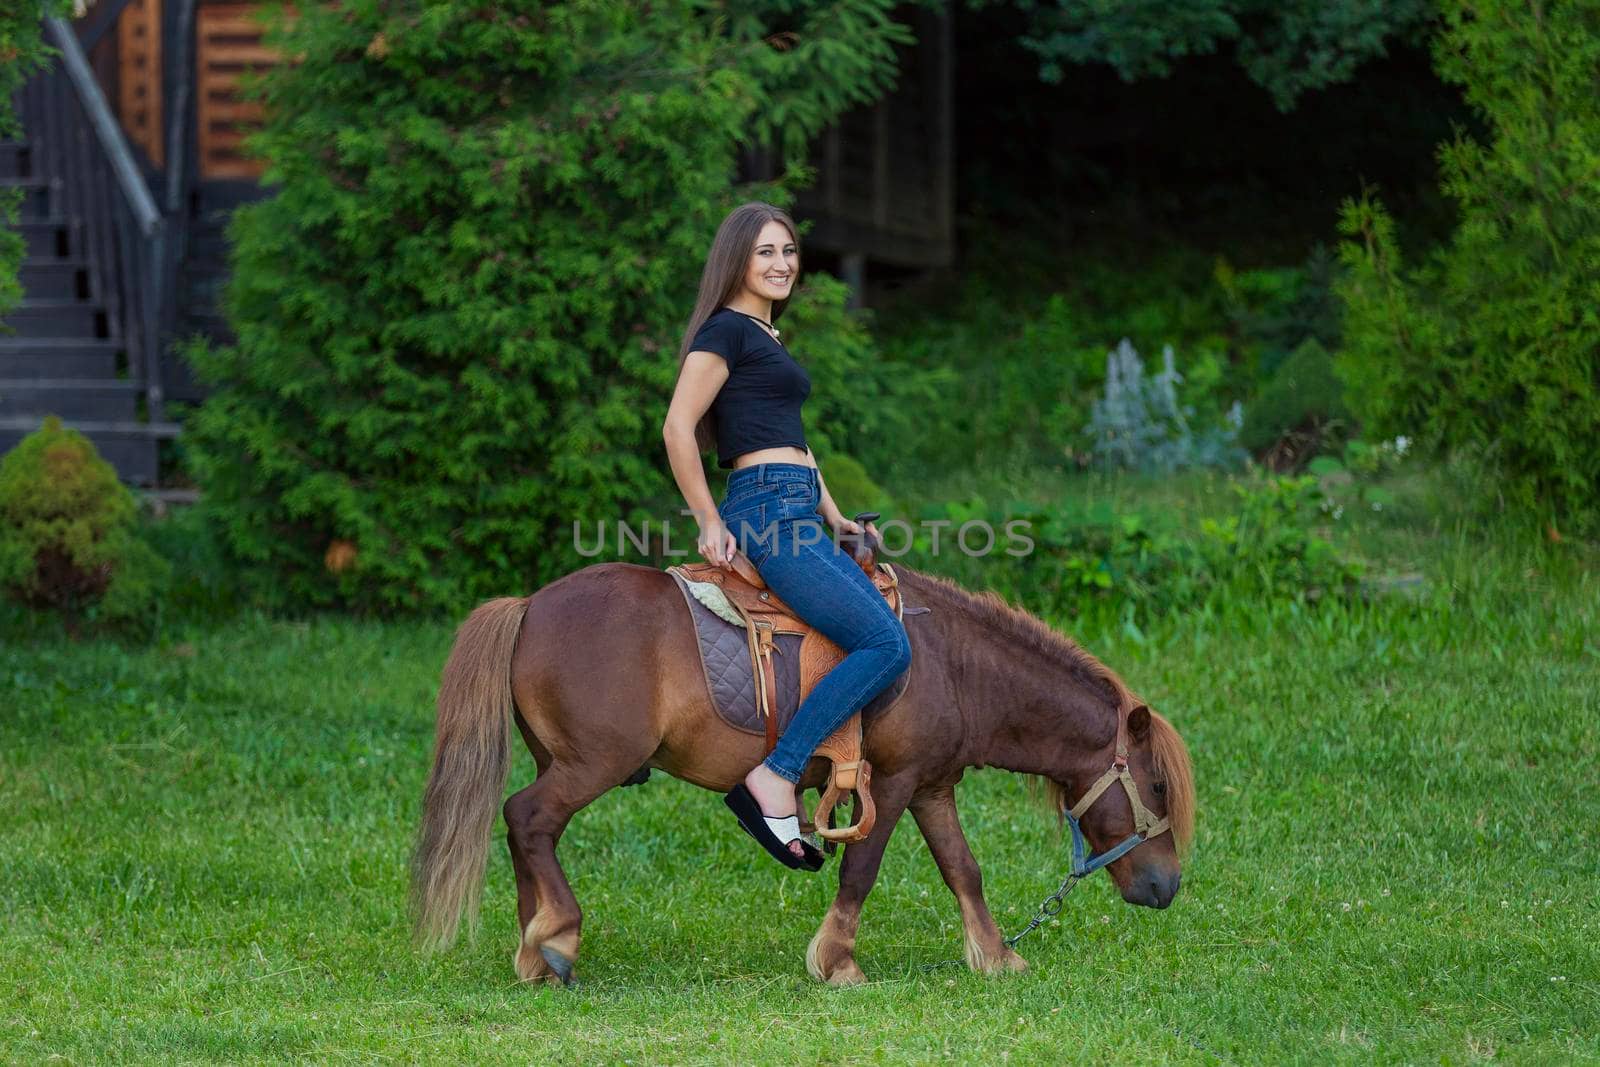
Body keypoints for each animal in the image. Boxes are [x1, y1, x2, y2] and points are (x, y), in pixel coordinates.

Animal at [409, 563, 1190, 991]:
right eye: (1157, 789)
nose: (1167, 887)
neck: (955, 665)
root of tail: (528, 606)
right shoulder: (891, 784)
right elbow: (861, 871)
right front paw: (837, 961)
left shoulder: (932, 785)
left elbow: (963, 870)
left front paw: (996, 956)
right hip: (588, 764)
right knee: (527, 817)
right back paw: (558, 933)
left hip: (563, 761)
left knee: (527, 832)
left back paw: (536, 944)